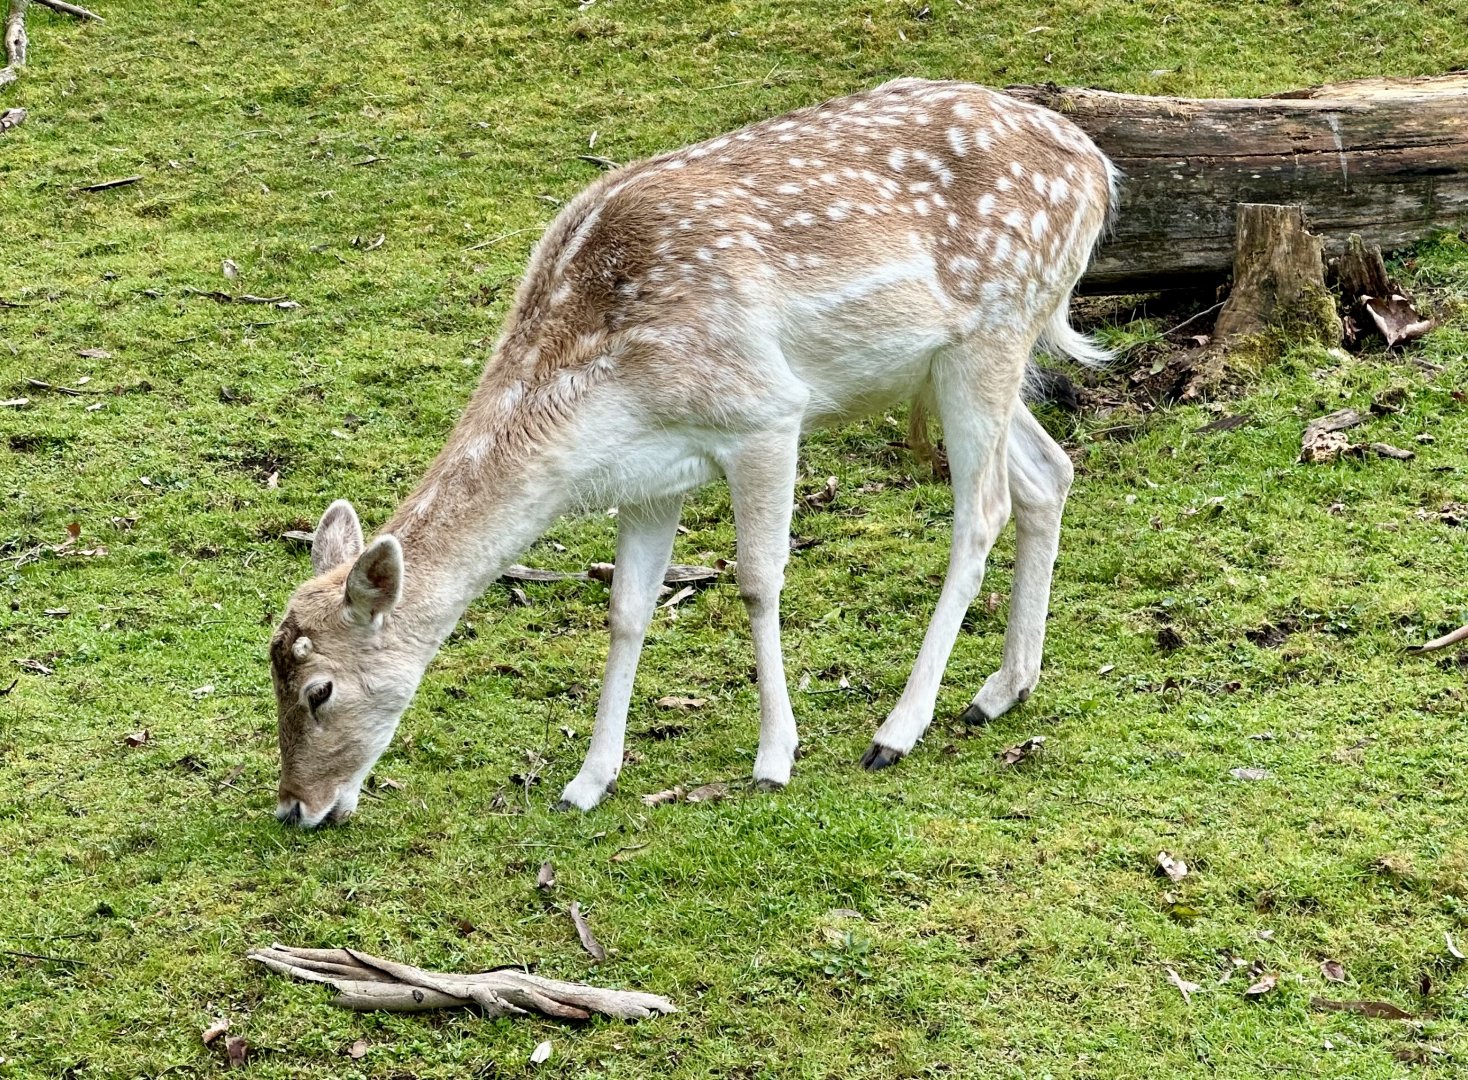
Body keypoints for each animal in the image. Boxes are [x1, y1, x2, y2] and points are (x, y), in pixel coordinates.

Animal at [268, 77, 1117, 827]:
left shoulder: (766, 414)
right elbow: (626, 610)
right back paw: (1003, 689)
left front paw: (774, 758)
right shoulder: (650, 478)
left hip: (995, 329)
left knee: (983, 510)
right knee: (1049, 473)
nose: (295, 808)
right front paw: (588, 781)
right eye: (270, 671)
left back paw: (898, 730)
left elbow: (758, 582)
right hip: (953, 364)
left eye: (319, 690)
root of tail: (1098, 170)